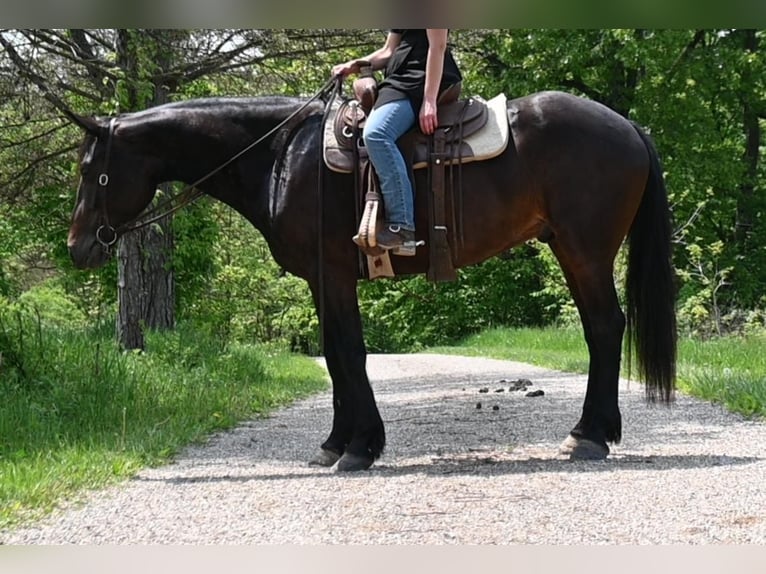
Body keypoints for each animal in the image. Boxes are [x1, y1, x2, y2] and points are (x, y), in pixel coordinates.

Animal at [67, 89, 680, 472]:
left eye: (91, 171)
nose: (78, 247)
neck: (281, 157)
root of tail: (628, 125)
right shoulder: (322, 281)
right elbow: (336, 354)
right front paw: (338, 442)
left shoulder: (333, 274)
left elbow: (348, 353)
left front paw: (359, 447)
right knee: (602, 329)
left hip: (585, 252)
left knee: (605, 328)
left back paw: (590, 435)